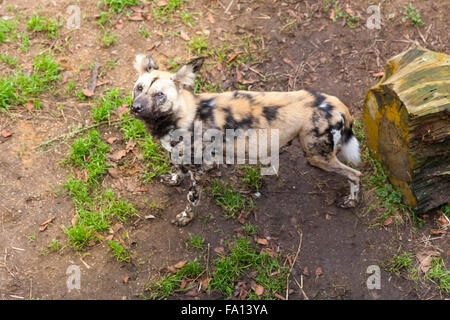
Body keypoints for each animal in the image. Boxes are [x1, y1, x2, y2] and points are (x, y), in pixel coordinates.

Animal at [130, 55, 362, 226]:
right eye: (139, 88)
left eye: (159, 95)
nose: (136, 108)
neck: (183, 116)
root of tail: (338, 105)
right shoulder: (181, 156)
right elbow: (178, 169)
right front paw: (173, 180)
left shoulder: (201, 168)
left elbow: (192, 198)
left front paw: (186, 218)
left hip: (317, 156)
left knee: (355, 174)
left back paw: (351, 201)